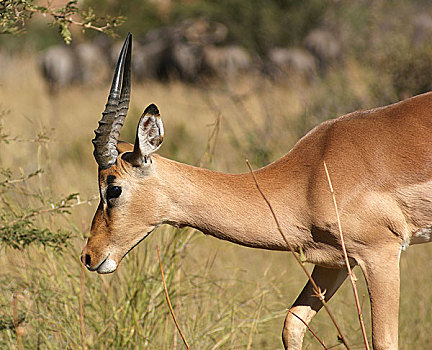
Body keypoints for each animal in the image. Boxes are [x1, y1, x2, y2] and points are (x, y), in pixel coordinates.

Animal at [81, 32, 432, 350]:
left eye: (113, 189)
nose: (89, 256)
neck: (312, 175)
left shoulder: (381, 254)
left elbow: (383, 341)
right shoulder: (335, 261)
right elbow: (292, 324)